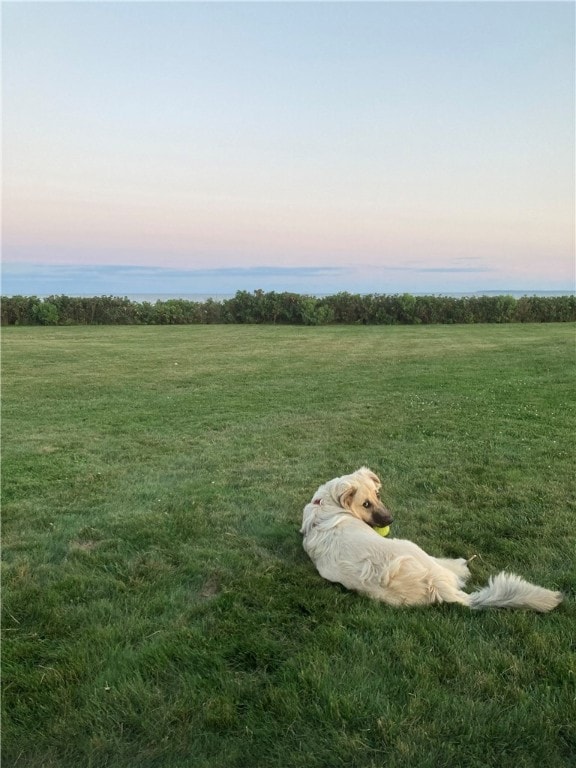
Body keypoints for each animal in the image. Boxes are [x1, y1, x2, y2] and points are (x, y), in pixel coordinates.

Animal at [302, 468, 564, 612]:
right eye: (365, 504)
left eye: (377, 495)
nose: (391, 519)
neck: (325, 504)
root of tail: (437, 586)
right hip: (412, 547)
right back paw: (461, 565)